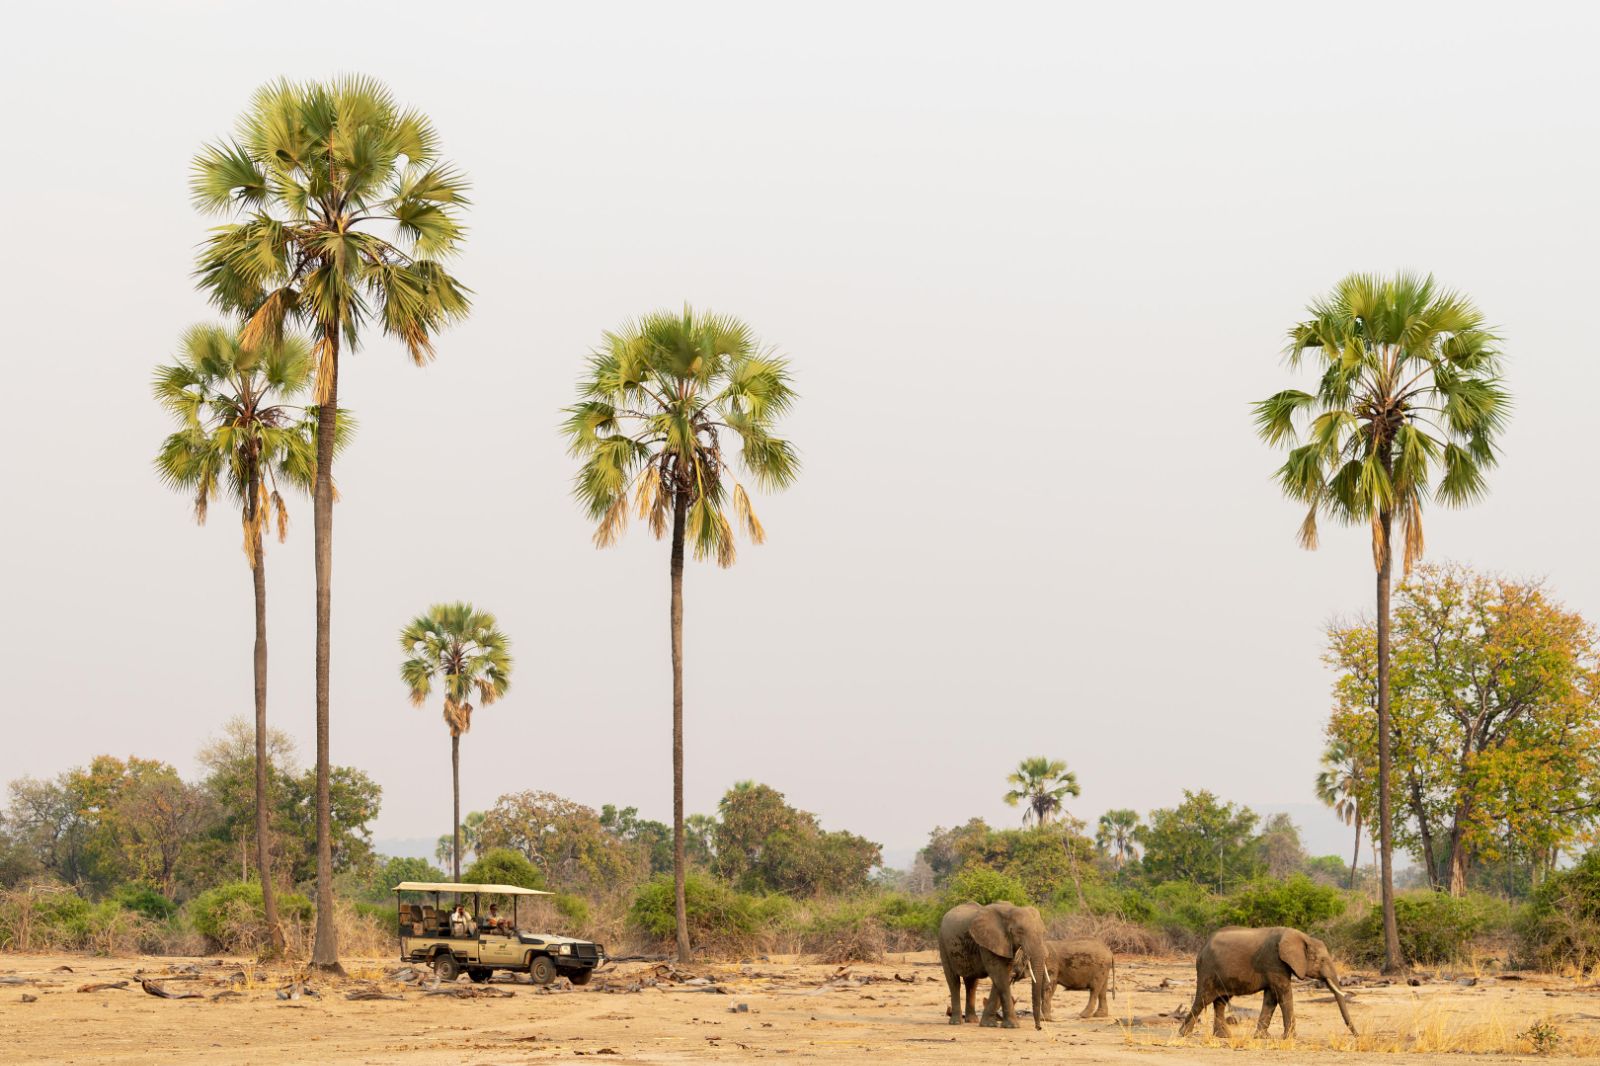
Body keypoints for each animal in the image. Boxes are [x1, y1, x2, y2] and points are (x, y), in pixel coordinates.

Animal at [938, 901, 1051, 1030]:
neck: (1011, 910)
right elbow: (999, 974)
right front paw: (1011, 1026)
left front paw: (989, 1024)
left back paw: (972, 1021)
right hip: (943, 943)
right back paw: (956, 1022)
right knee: (953, 981)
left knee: (971, 983)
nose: (1039, 1028)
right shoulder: (987, 943)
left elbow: (1004, 976)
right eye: (1020, 931)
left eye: (1044, 933)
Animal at [1177, 926, 1356, 1039]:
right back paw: (1184, 1034)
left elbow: (1271, 997)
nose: (1357, 1035)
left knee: (1220, 1001)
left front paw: (1263, 1037)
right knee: (1202, 1000)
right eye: (1322, 960)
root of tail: (1203, 947)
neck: (1302, 936)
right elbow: (1284, 994)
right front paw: (1291, 1038)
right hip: (1207, 970)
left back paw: (1223, 1036)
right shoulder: (1274, 961)